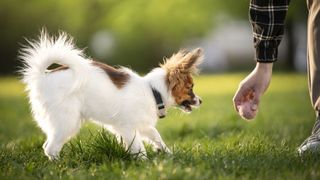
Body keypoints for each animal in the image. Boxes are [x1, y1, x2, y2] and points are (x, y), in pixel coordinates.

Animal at [20, 31, 204, 160]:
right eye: (190, 88)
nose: (201, 101)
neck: (153, 92)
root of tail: (42, 76)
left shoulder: (141, 125)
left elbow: (156, 136)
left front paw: (168, 154)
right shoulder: (127, 127)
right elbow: (139, 147)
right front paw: (145, 163)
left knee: (47, 145)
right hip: (68, 120)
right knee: (51, 148)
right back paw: (61, 166)